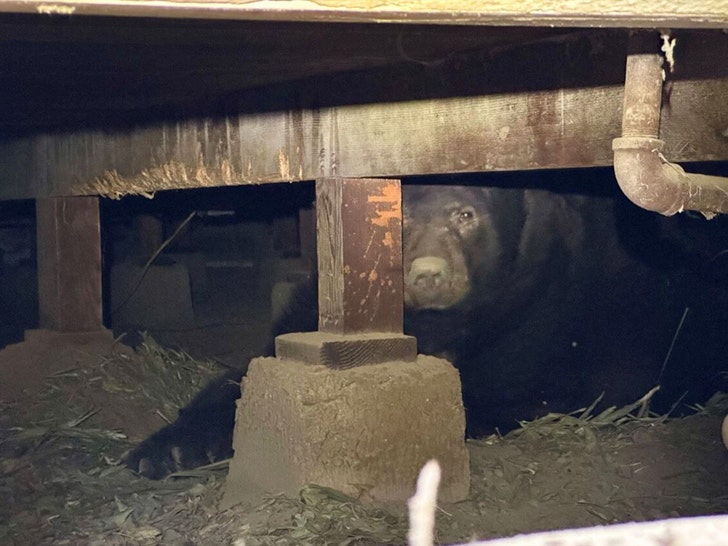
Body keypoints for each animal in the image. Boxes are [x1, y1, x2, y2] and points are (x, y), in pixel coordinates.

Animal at [123, 180, 728, 479]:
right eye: (400, 217)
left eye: (466, 215)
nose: (429, 274)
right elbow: (250, 370)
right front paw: (162, 448)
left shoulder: (540, 317)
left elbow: (487, 390)